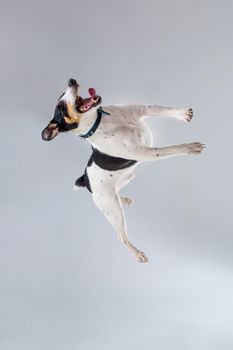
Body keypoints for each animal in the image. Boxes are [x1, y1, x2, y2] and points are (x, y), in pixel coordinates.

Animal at [41, 78, 204, 262]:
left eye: (63, 94)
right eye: (61, 106)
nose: (71, 80)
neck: (101, 122)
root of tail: (85, 178)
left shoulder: (143, 109)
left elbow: (163, 110)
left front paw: (182, 114)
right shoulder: (146, 153)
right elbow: (171, 149)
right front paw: (190, 148)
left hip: (127, 177)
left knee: (118, 191)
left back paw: (123, 199)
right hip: (113, 211)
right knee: (121, 236)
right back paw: (137, 253)